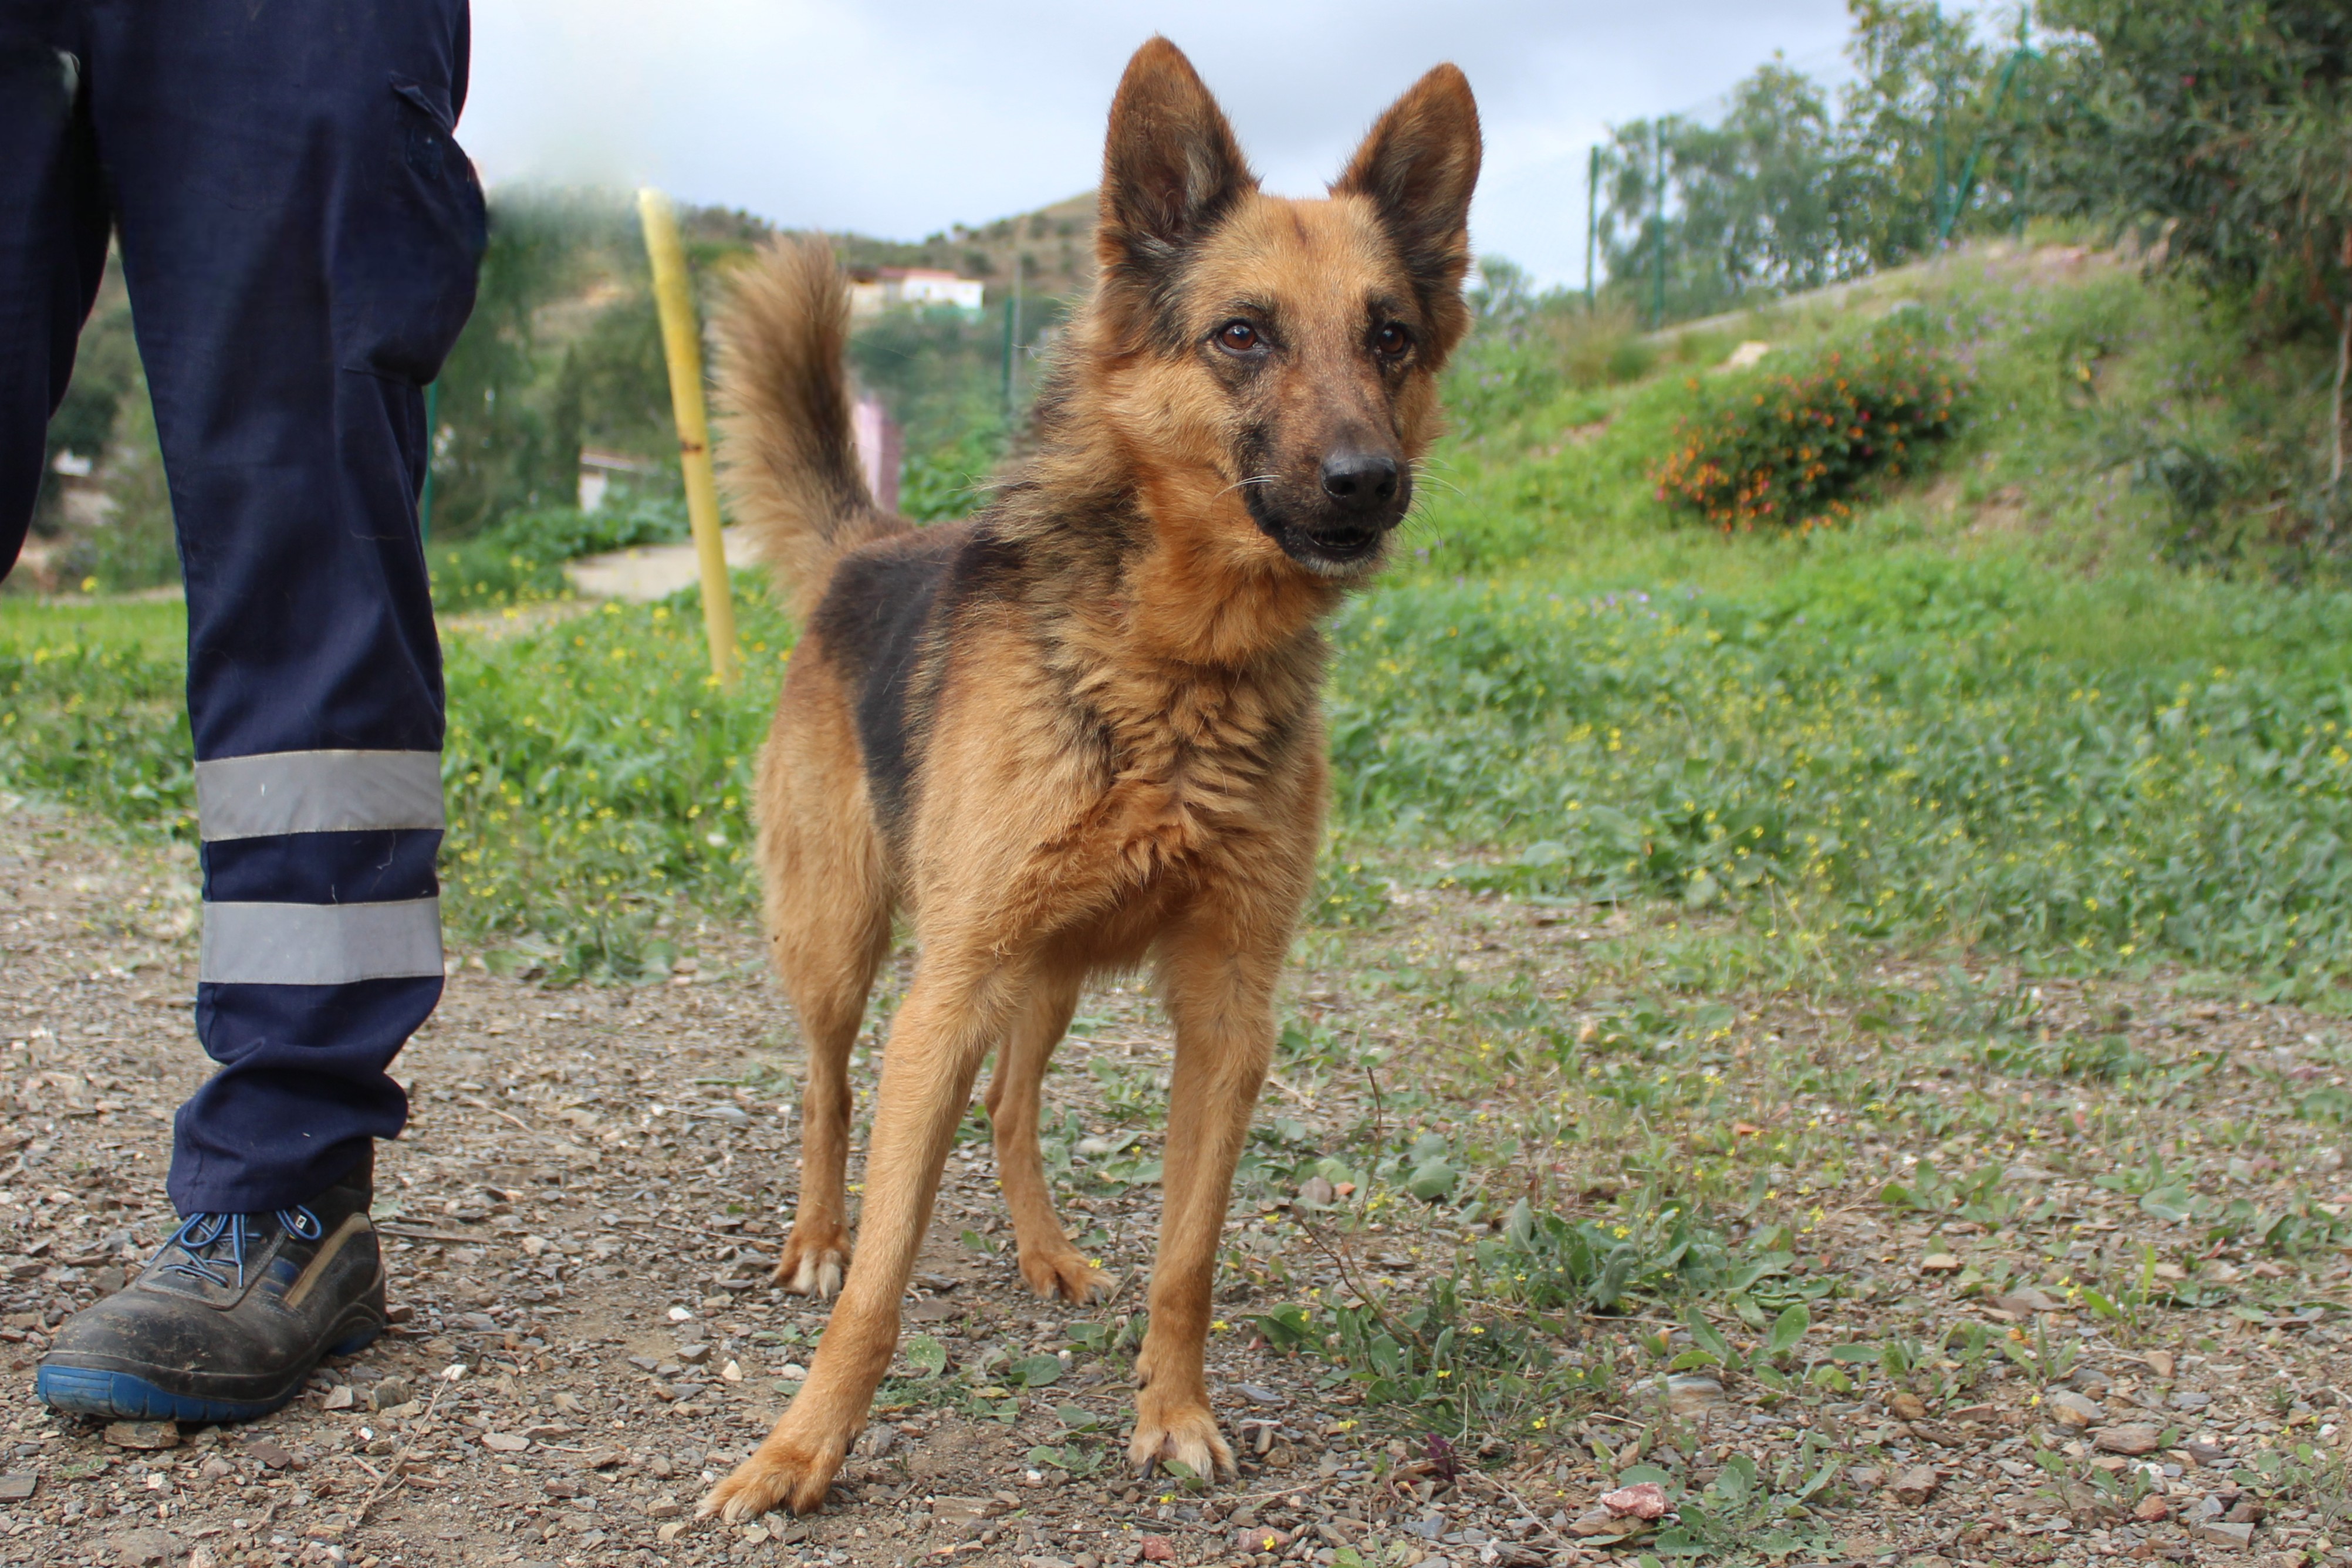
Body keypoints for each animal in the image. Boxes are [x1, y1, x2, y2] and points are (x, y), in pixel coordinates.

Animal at [691, 36, 1486, 1523]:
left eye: (1390, 337)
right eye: (1241, 334)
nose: (1369, 483)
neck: (1176, 667)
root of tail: (867, 548)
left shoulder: (1228, 1012)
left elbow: (1189, 1257)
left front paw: (1171, 1411)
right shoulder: (943, 995)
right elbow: (883, 1282)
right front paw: (800, 1447)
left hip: (1047, 972)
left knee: (1013, 1106)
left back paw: (1045, 1249)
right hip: (846, 939)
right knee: (828, 1088)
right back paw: (815, 1233)